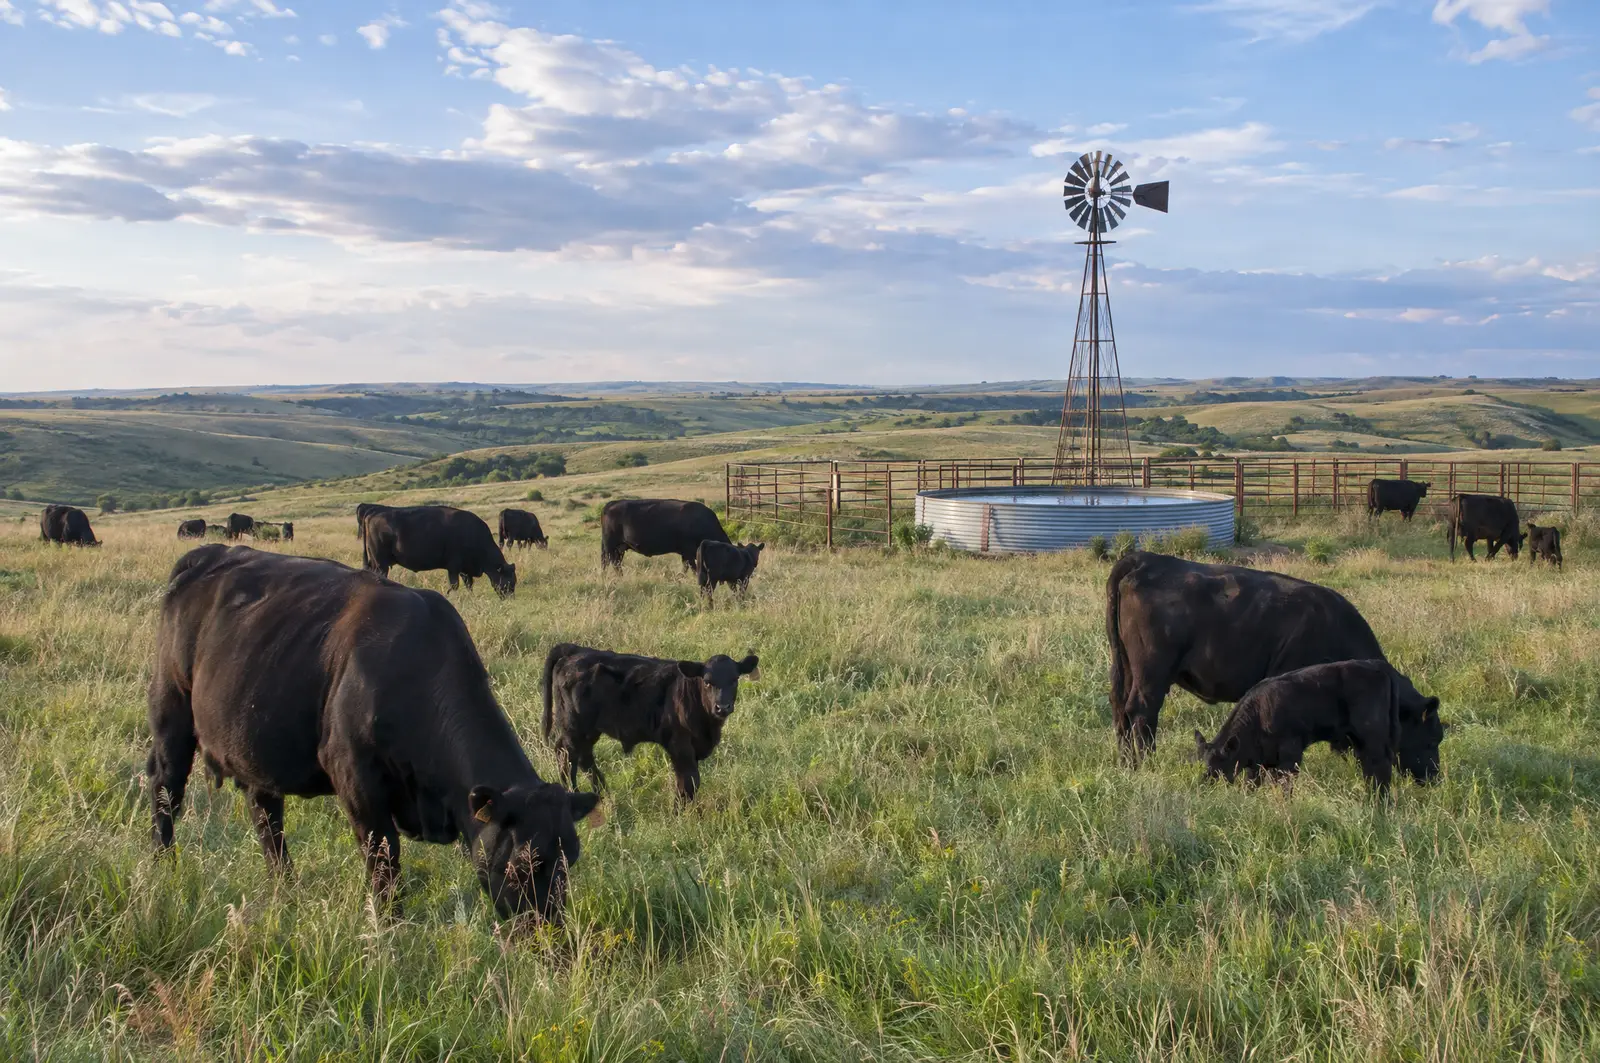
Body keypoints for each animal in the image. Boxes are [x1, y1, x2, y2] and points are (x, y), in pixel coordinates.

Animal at [145, 545, 598, 921]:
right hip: (171, 709)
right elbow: (384, 860)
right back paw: (162, 868)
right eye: (524, 865)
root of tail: (207, 554)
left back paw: (285, 885)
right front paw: (390, 928)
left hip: (255, 742)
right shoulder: (356, 777)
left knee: (266, 815)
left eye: (570, 859)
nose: (547, 928)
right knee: (166, 789)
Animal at [364, 506, 516, 596]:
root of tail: (372, 515)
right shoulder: (454, 567)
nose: (510, 597)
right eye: (509, 581)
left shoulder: (465, 570)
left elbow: (469, 584)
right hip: (381, 564)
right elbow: (455, 585)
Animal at [542, 643, 760, 803]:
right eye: (707, 682)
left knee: (576, 755)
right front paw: (680, 812)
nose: (722, 707)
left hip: (585, 730)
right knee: (570, 756)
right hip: (575, 726)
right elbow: (689, 781)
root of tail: (575, 650)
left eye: (735, 679)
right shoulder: (679, 744)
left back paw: (596, 793)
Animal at [600, 499, 730, 571]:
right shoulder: (688, 551)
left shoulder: (686, 554)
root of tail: (612, 503)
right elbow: (692, 568)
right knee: (613, 563)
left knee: (610, 563)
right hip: (611, 547)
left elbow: (685, 568)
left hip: (619, 548)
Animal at [1193, 659, 1442, 791]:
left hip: (1373, 737)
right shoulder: (1260, 760)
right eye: (1203, 762)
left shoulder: (1290, 753)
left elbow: (1285, 784)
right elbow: (1252, 782)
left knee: (1378, 767)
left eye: (1218, 766)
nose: (1204, 783)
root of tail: (1378, 666)